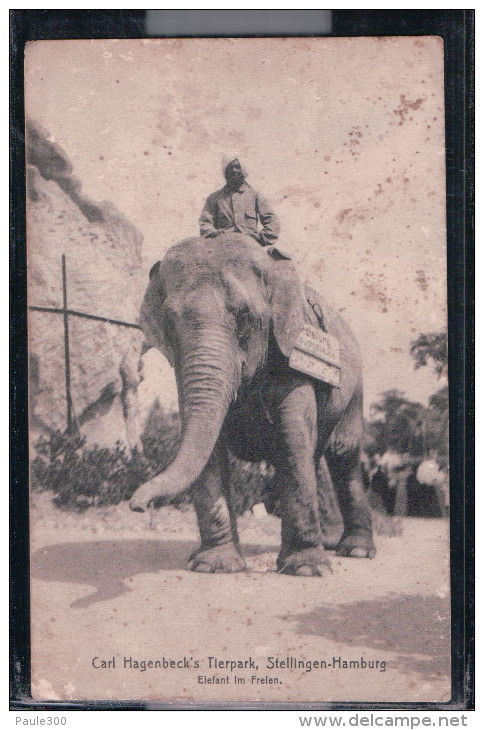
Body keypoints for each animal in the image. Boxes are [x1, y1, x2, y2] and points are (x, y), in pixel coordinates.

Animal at [130, 233, 376, 576]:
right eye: (168, 322)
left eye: (244, 316)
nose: (138, 506)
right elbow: (209, 448)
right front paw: (213, 566)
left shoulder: (291, 354)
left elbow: (293, 439)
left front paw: (306, 569)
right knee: (316, 458)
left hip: (355, 388)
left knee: (342, 453)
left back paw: (355, 550)